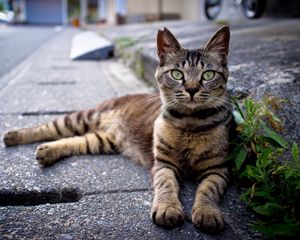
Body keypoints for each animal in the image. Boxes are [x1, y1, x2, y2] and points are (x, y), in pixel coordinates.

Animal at [2, 26, 232, 232]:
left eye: (208, 75)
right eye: (177, 74)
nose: (192, 89)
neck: (190, 123)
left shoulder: (218, 170)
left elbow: (208, 191)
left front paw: (207, 213)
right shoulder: (163, 165)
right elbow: (167, 186)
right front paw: (168, 208)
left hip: (101, 141)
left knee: (75, 140)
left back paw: (47, 151)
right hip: (82, 118)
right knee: (49, 127)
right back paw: (13, 136)